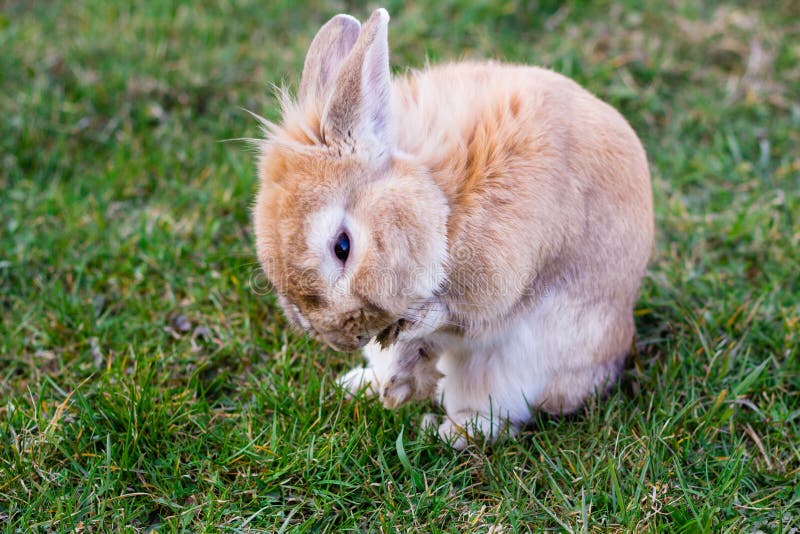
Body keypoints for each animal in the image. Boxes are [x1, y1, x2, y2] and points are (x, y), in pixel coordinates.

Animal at [253, 9, 652, 452]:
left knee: (500, 416)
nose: (340, 338)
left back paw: (446, 430)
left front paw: (414, 338)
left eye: (342, 246)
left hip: (509, 370)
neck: (440, 196)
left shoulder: (494, 276)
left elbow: (459, 316)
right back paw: (360, 385)